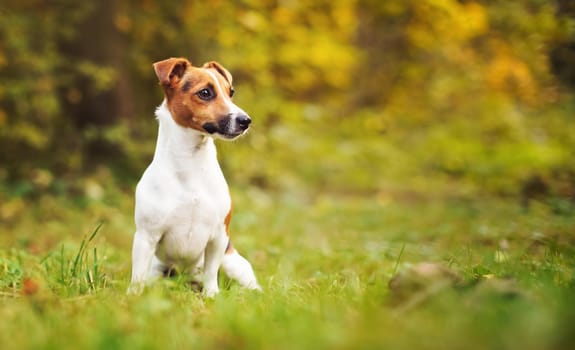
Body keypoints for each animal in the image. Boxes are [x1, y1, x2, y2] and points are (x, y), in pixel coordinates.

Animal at [130, 58, 260, 298]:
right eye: (205, 93)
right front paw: (132, 297)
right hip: (158, 269)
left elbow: (211, 272)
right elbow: (137, 276)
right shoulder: (146, 236)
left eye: (231, 92)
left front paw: (211, 295)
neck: (190, 163)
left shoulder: (219, 237)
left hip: (234, 263)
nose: (246, 120)